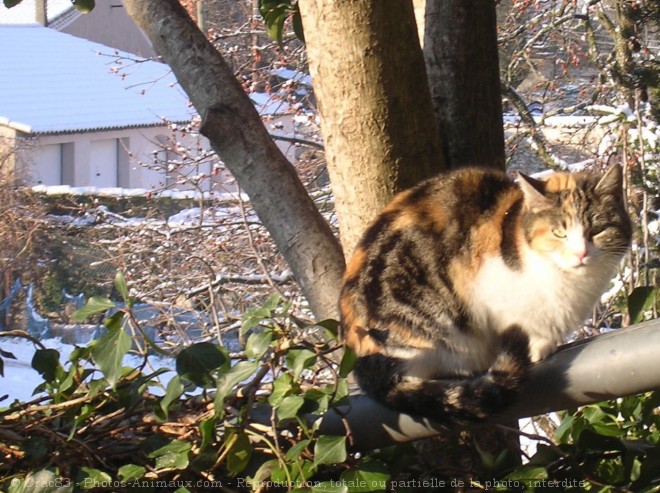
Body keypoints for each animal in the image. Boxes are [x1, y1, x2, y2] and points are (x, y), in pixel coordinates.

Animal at [340, 165, 636, 422]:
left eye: (597, 230)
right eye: (559, 232)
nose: (581, 254)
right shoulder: (488, 287)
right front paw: (538, 345)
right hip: (423, 320)